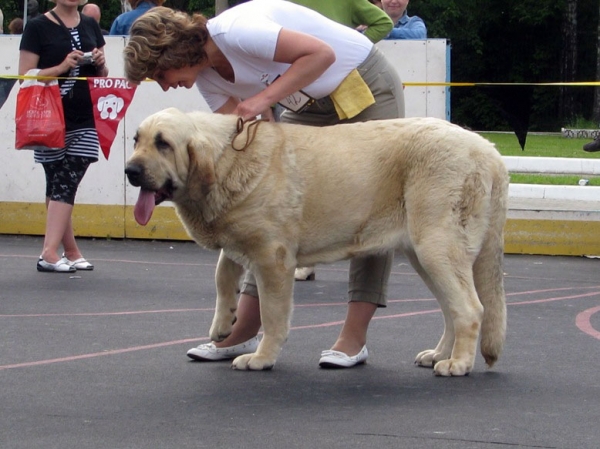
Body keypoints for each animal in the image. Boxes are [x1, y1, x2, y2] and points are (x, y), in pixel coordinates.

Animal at [124, 107, 508, 376]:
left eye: (163, 143)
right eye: (137, 140)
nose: (130, 170)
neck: (227, 160)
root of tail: (489, 150)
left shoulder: (273, 259)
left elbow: (272, 314)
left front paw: (262, 357)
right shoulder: (241, 240)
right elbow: (222, 276)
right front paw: (223, 325)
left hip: (436, 248)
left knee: (470, 309)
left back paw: (457, 364)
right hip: (425, 254)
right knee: (452, 309)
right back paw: (440, 354)